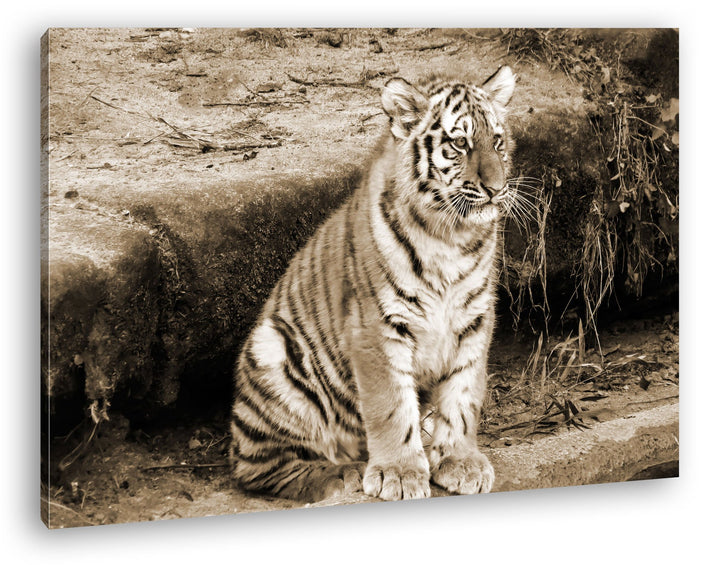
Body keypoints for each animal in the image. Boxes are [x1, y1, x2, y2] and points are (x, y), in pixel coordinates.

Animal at [230, 65, 517, 503]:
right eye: (460, 143)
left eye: (497, 142)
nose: (497, 189)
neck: (451, 236)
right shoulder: (377, 326)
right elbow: (391, 406)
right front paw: (398, 473)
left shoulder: (474, 320)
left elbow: (463, 395)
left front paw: (460, 462)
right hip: (273, 349)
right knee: (258, 467)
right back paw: (340, 474)